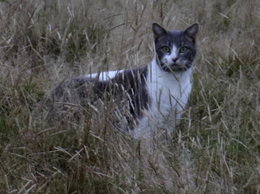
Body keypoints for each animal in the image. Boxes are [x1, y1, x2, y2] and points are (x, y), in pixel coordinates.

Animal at [43, 22, 199, 138]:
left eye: (184, 49)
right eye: (165, 48)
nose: (174, 58)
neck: (175, 81)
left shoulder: (172, 118)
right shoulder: (142, 119)